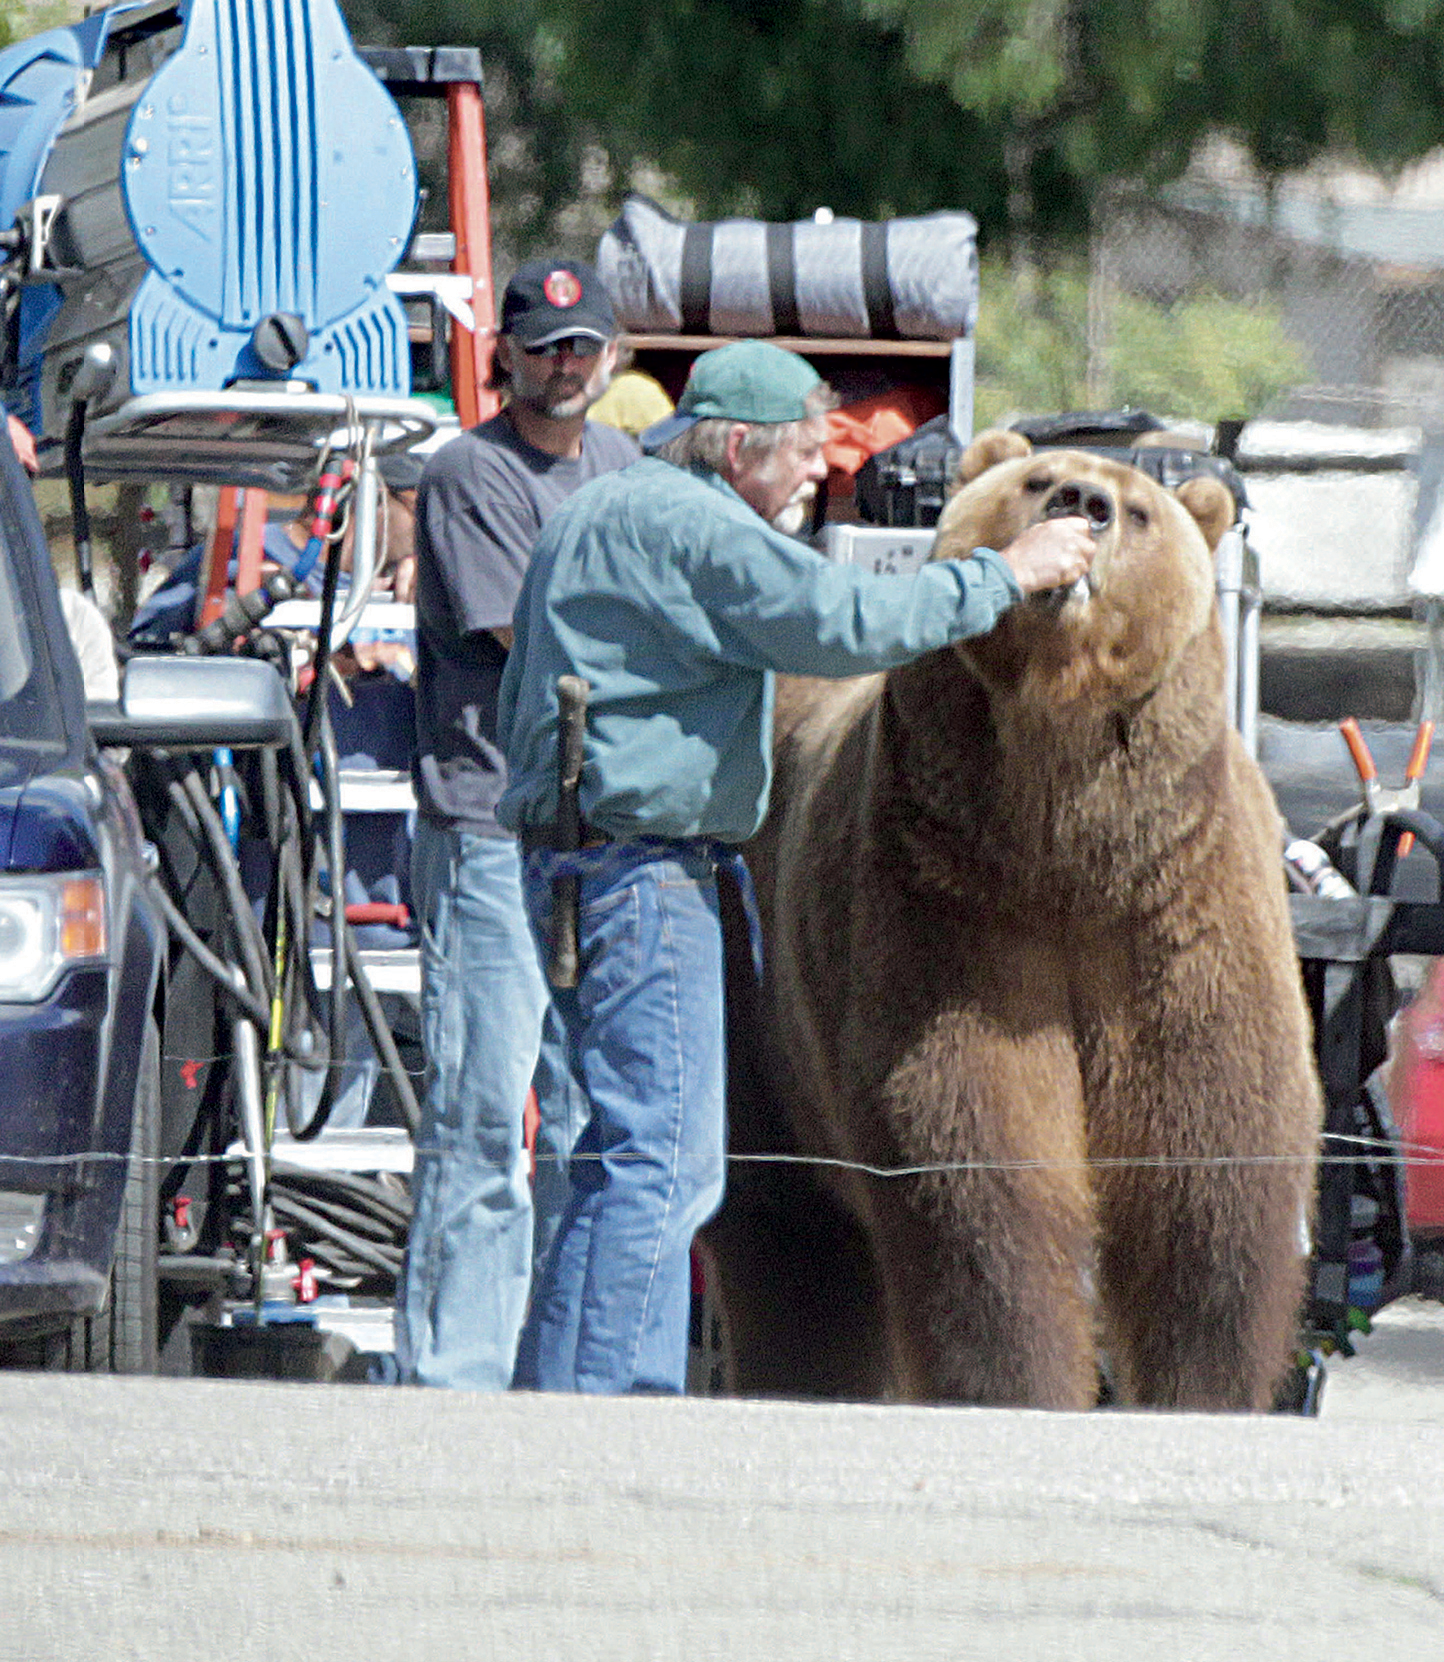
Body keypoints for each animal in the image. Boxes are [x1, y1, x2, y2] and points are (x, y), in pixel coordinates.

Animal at [704, 432, 1322, 1416]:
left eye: (1136, 508)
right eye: (1039, 480)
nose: (1082, 504)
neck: (1063, 849)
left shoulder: (1177, 905)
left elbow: (1211, 1153)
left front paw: (1204, 1386)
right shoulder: (947, 905)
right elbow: (977, 1154)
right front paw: (1016, 1380)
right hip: (755, 991)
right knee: (790, 1230)